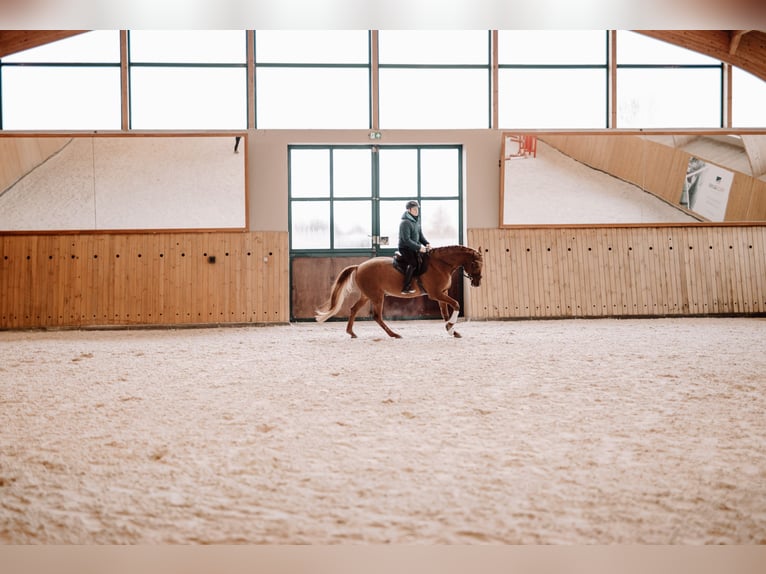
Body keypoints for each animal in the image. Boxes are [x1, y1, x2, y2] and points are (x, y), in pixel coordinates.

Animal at [318, 245, 486, 340]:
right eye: (475, 264)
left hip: (367, 296)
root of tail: (359, 266)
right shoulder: (436, 294)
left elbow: (445, 314)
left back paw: (351, 333)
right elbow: (456, 305)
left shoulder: (442, 294)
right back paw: (394, 335)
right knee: (377, 316)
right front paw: (451, 327)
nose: (477, 283)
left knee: (353, 309)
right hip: (377, 296)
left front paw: (452, 330)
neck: (440, 265)